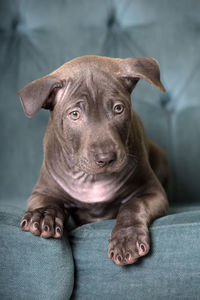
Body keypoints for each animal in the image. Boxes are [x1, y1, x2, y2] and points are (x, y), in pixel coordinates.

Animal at [19, 55, 169, 264]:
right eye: (75, 114)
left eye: (118, 109)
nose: (106, 158)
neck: (92, 179)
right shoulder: (42, 191)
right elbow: (49, 202)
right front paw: (43, 215)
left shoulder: (153, 192)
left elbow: (133, 204)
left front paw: (126, 238)